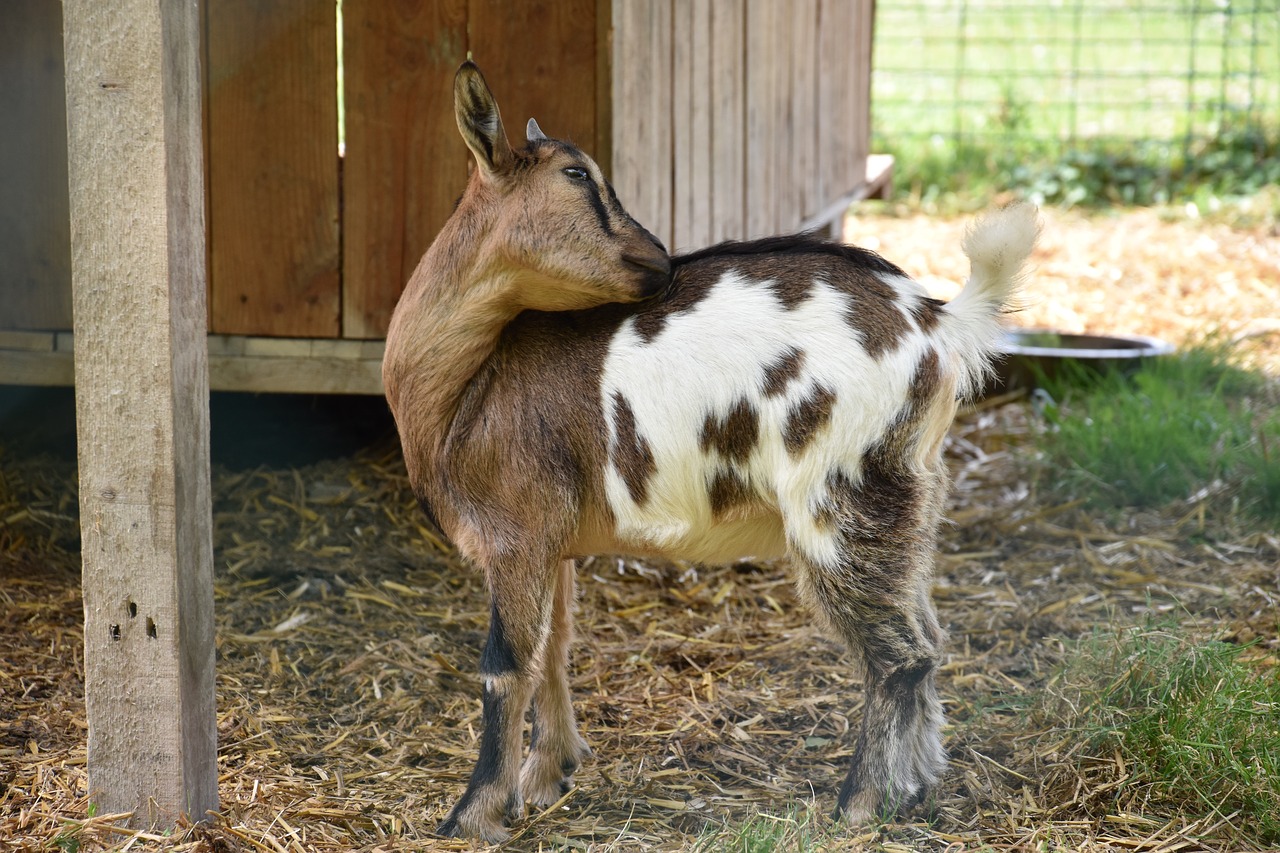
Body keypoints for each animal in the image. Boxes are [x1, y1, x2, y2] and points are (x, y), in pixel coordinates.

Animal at [381, 63, 1039, 840]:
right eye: (576, 173)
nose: (661, 261)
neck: (469, 382)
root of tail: (937, 322)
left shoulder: (514, 533)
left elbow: (505, 665)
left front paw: (473, 813)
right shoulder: (552, 538)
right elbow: (554, 648)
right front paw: (549, 776)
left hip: (840, 497)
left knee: (898, 653)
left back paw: (858, 803)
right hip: (909, 499)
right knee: (929, 638)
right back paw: (918, 786)